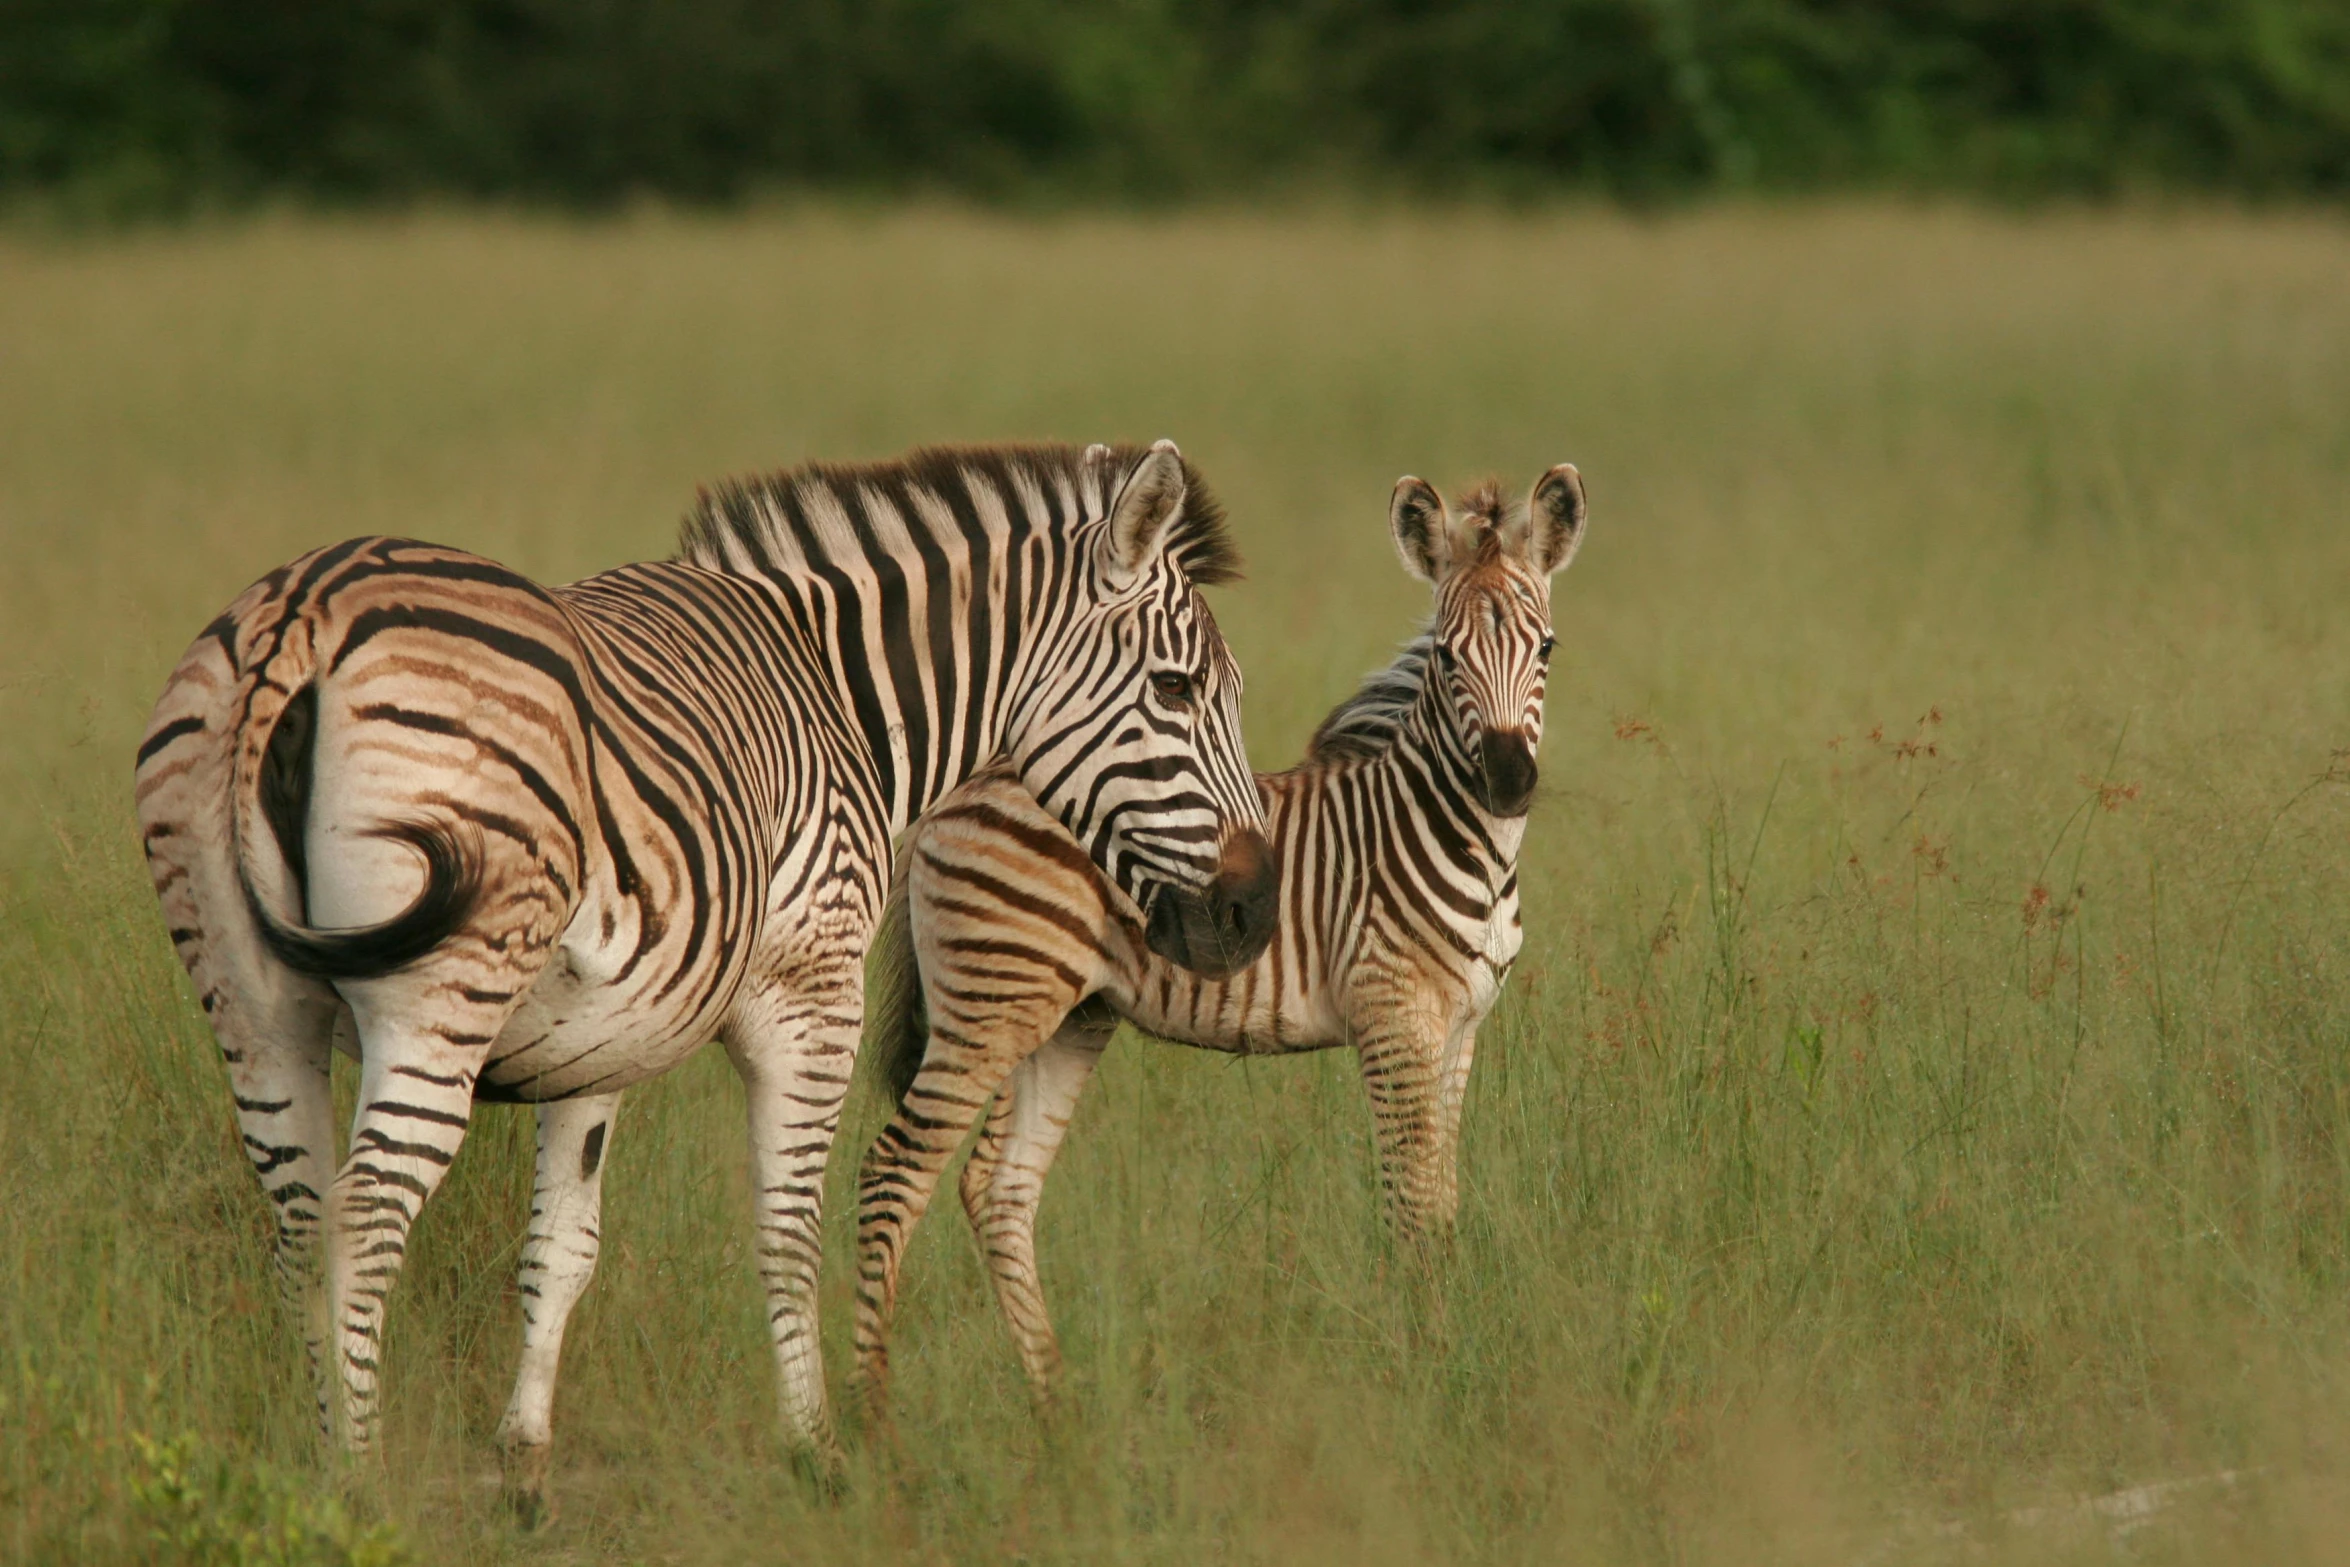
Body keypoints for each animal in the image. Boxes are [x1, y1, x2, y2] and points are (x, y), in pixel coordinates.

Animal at [137, 439, 1278, 1494]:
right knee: (366, 1212)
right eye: (1177, 689)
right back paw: (360, 1478)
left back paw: (317, 1453)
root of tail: (304, 607)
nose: (1254, 911)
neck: (842, 696)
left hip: (250, 1002)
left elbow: (562, 1247)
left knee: (299, 1218)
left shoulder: (591, 1046)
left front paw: (525, 1466)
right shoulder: (812, 993)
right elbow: (789, 1225)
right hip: (437, 996)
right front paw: (821, 1451)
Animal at [855, 465, 1588, 1409]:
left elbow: (1442, 1200)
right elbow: (1411, 1202)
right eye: (1449, 659)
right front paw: (1422, 1371)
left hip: (1064, 1015)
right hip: (991, 1004)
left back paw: (1057, 1399)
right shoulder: (1393, 1018)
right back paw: (875, 1411)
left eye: (1548, 650)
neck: (1450, 833)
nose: (1508, 780)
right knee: (895, 1173)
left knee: (998, 1184)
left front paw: (1441, 1352)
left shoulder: (1461, 1028)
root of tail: (962, 784)